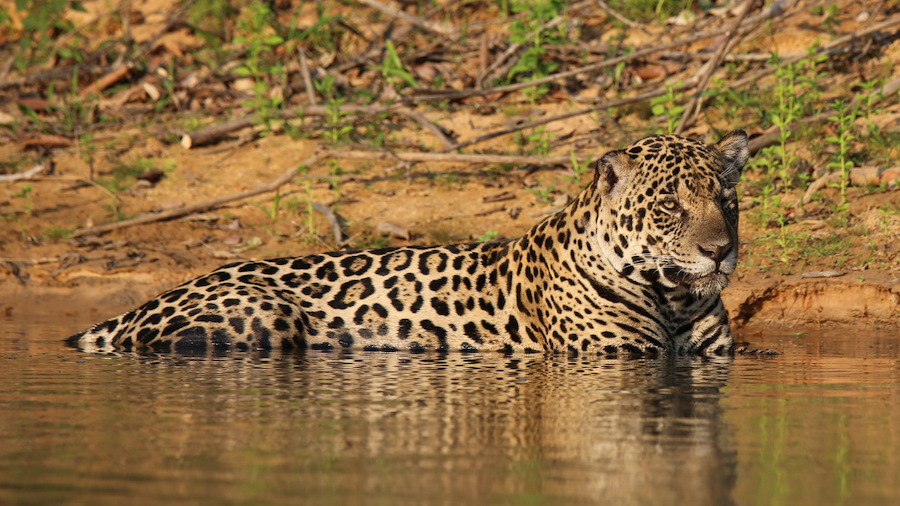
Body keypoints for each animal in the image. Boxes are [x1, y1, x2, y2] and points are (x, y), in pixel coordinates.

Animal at [68, 130, 749, 356]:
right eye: (668, 207)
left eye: (727, 201)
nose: (719, 251)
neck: (673, 297)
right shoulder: (615, 356)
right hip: (263, 314)